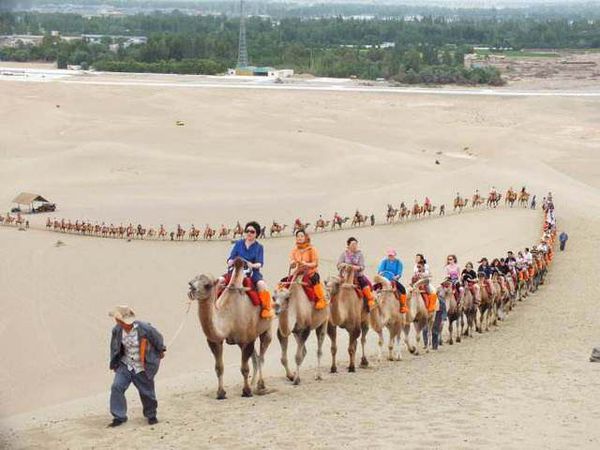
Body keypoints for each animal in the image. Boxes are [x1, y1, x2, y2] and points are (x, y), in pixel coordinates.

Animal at [188, 258, 272, 400]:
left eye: (207, 285)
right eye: (192, 281)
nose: (192, 289)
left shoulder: (247, 340)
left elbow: (244, 368)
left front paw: (246, 392)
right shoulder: (216, 341)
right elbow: (219, 368)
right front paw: (221, 393)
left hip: (266, 329)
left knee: (261, 356)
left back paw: (260, 386)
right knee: (256, 358)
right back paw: (253, 383)